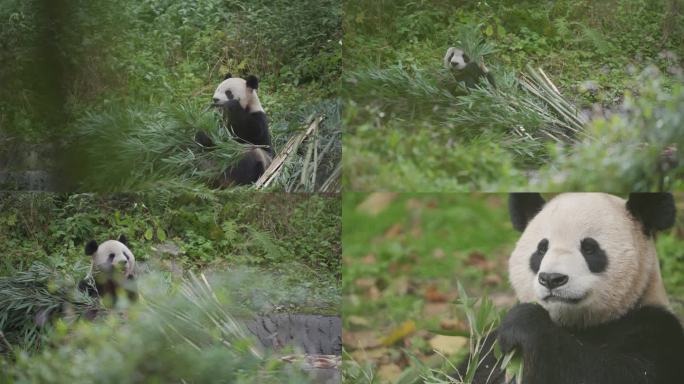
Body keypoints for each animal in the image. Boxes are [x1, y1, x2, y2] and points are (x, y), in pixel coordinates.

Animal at [460, 192, 684, 384]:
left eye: (589, 248)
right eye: (541, 249)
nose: (551, 279)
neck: (575, 325)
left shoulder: (656, 332)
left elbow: (615, 373)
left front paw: (523, 322)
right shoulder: (488, 349)